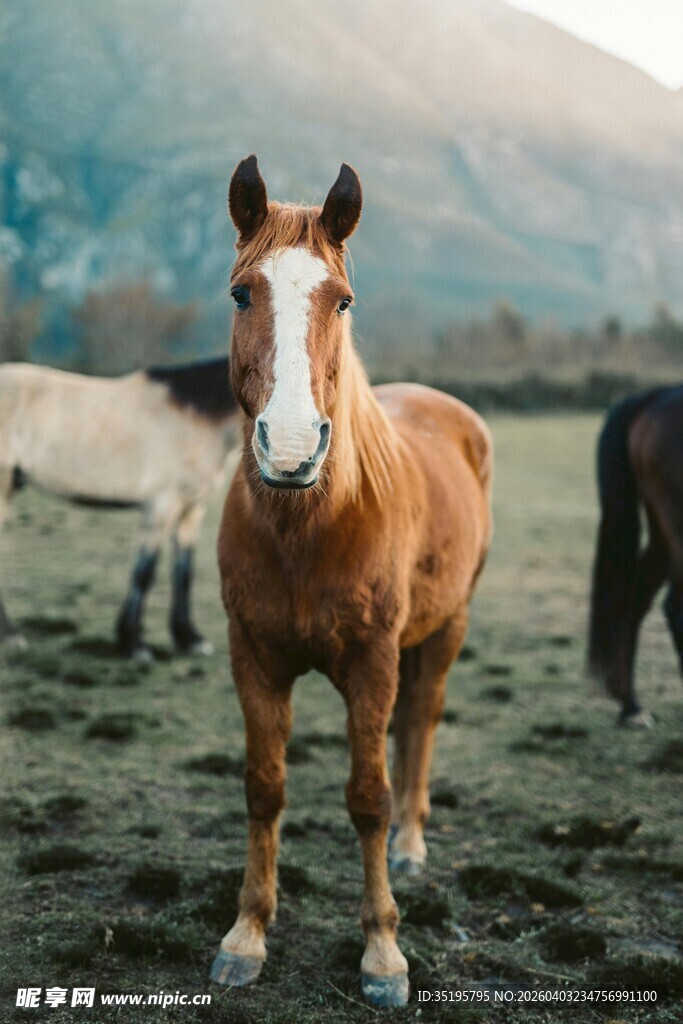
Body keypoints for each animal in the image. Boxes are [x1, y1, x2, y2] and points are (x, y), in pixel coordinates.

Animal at [0, 357, 240, 659]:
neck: (196, 417)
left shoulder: (191, 511)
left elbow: (184, 573)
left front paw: (189, 639)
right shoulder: (160, 506)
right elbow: (144, 572)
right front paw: (134, 643)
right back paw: (10, 636)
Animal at [211, 156, 493, 1007]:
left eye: (342, 300)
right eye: (241, 293)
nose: (291, 448)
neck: (307, 526)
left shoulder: (371, 660)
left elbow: (368, 796)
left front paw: (382, 952)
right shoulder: (253, 658)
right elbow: (264, 786)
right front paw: (247, 934)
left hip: (446, 629)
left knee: (421, 722)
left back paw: (410, 843)